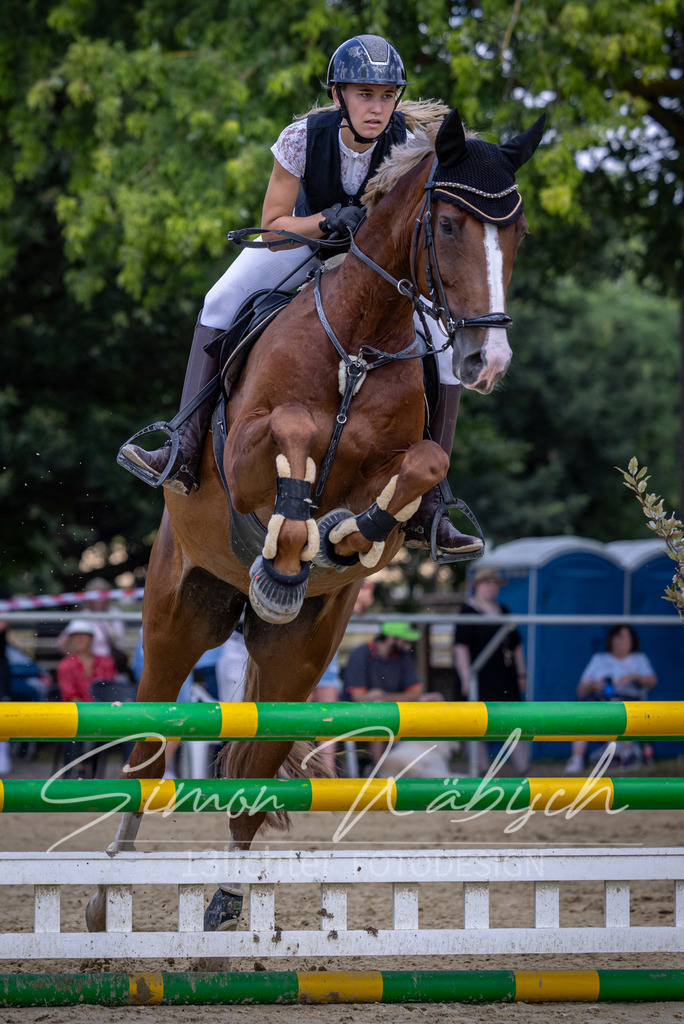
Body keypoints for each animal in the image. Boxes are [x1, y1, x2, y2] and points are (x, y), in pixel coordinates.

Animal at [86, 107, 544, 932]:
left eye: (517, 232)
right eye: (449, 224)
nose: (485, 360)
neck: (359, 339)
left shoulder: (403, 462)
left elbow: (420, 469)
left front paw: (338, 537)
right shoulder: (243, 449)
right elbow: (293, 429)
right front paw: (292, 543)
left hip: (298, 657)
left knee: (249, 775)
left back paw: (227, 901)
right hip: (175, 616)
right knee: (147, 753)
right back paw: (109, 896)